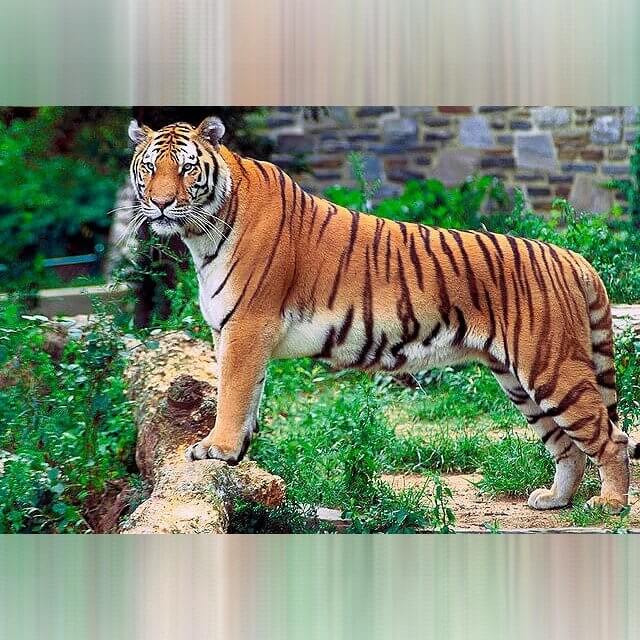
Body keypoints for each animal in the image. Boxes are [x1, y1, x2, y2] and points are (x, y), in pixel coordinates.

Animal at [127, 115, 638, 513]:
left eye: (186, 168)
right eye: (150, 168)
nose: (161, 203)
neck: (202, 234)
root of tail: (572, 257)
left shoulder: (247, 327)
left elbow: (232, 394)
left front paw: (217, 449)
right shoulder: (232, 333)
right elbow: (248, 395)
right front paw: (237, 456)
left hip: (552, 368)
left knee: (611, 439)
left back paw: (609, 504)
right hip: (519, 381)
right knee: (568, 446)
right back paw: (555, 500)